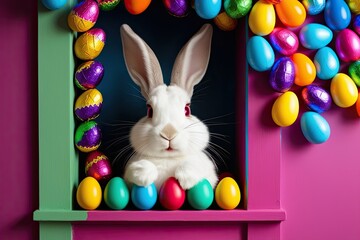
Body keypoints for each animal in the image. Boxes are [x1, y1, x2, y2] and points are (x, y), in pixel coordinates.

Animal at [119, 23, 218, 190]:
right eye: (149, 110)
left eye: (187, 109)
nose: (169, 133)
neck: (169, 159)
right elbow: (137, 170)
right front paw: (143, 174)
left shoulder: (207, 169)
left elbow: (194, 164)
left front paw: (186, 176)